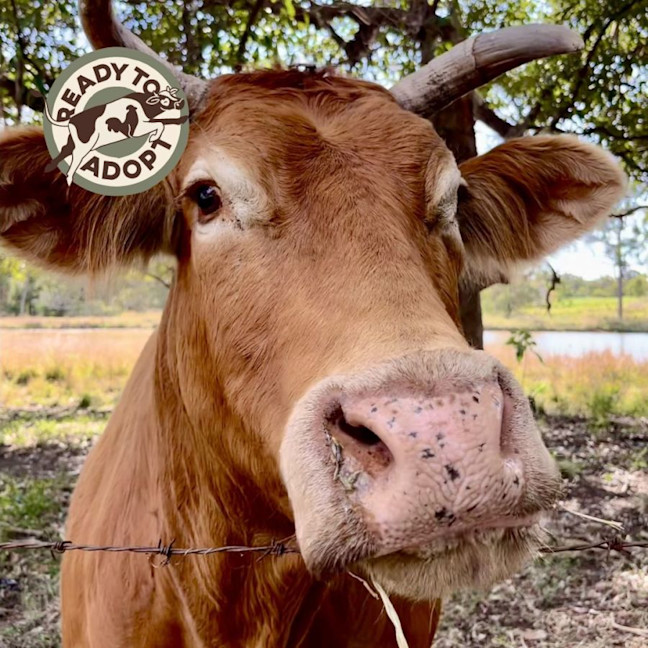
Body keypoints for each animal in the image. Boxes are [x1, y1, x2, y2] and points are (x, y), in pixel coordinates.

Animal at [44, 86, 187, 185]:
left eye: (172, 95)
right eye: (164, 100)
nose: (180, 102)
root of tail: (71, 119)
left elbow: (164, 121)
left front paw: (182, 119)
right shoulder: (134, 130)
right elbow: (160, 123)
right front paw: (153, 137)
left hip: (75, 141)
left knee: (65, 150)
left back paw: (49, 168)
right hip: (84, 144)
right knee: (75, 156)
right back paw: (69, 179)